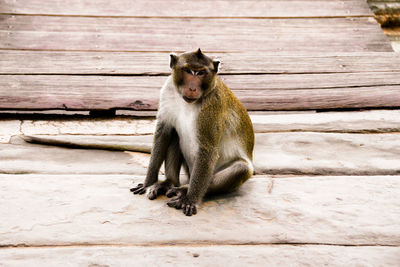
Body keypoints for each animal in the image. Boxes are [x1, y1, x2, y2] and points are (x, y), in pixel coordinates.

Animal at [130, 48, 255, 217]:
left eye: (201, 73)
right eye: (188, 71)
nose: (193, 88)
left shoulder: (212, 106)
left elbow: (208, 150)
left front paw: (190, 199)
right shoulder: (167, 90)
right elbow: (163, 134)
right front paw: (148, 183)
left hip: (207, 175)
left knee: (242, 168)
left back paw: (184, 190)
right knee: (175, 135)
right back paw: (169, 183)